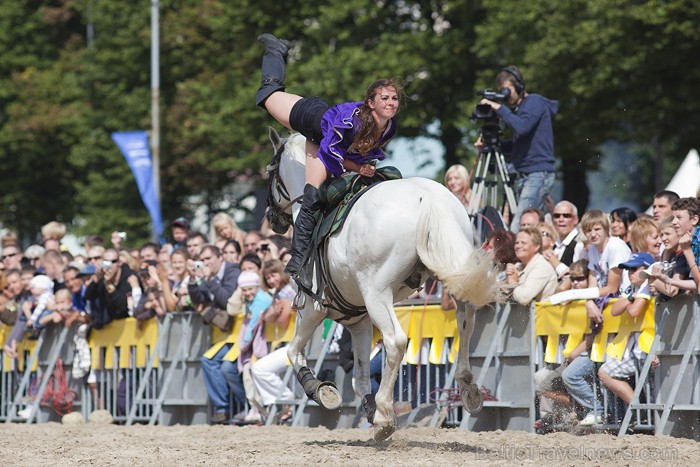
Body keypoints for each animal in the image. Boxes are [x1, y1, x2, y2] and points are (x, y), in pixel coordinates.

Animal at [266, 128, 500, 442]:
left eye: (270, 172)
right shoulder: (358, 323)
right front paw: (368, 410)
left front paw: (320, 391)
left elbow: (293, 353)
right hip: (454, 272)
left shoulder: (312, 310)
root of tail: (427, 198)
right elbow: (361, 379)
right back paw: (467, 388)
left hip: (377, 294)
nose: (272, 219)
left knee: (395, 341)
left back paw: (386, 412)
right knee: (465, 323)